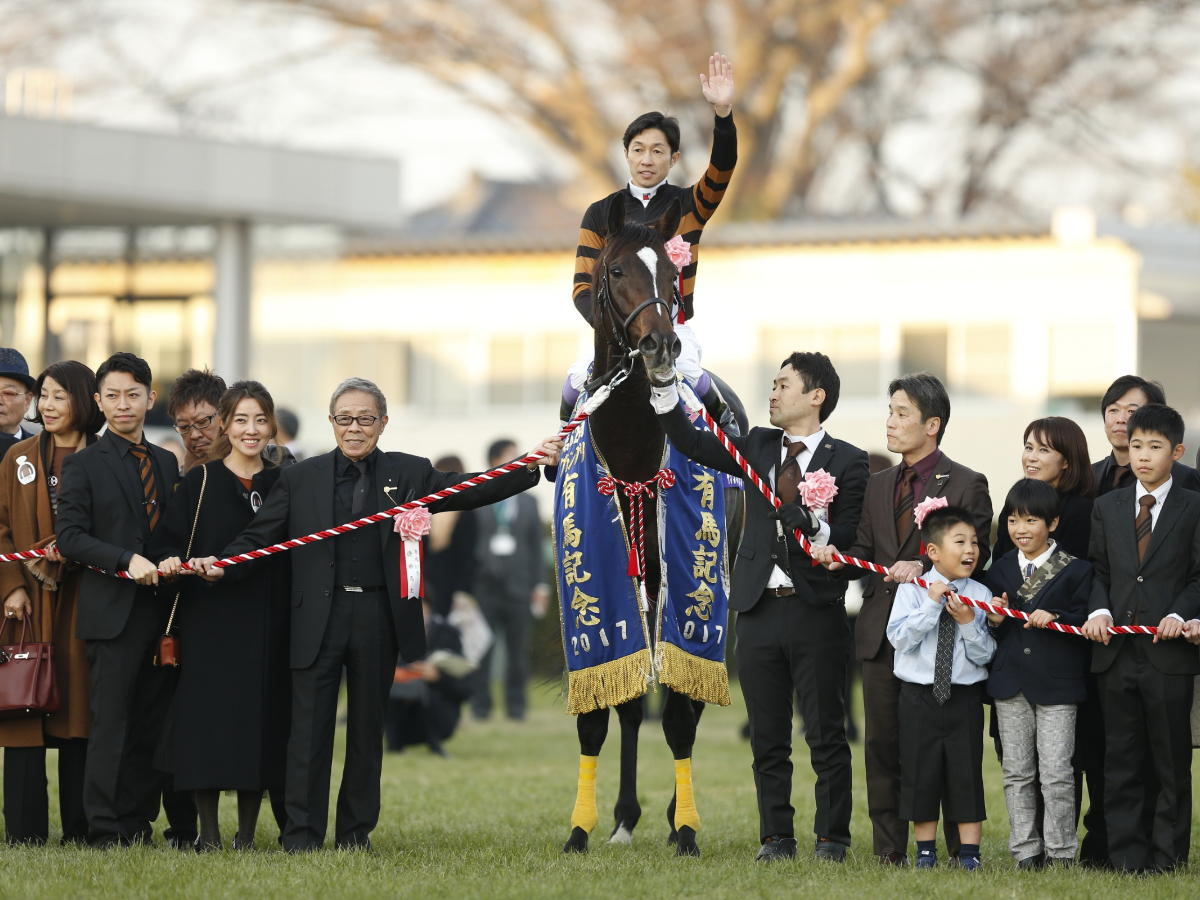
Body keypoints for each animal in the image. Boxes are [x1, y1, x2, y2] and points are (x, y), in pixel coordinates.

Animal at [561, 196, 739, 859]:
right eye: (614, 272)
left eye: (671, 270)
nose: (662, 342)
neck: (634, 449)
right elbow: (603, 709)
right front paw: (582, 829)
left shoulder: (683, 581)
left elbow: (682, 714)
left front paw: (684, 828)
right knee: (635, 706)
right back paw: (625, 818)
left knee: (689, 701)